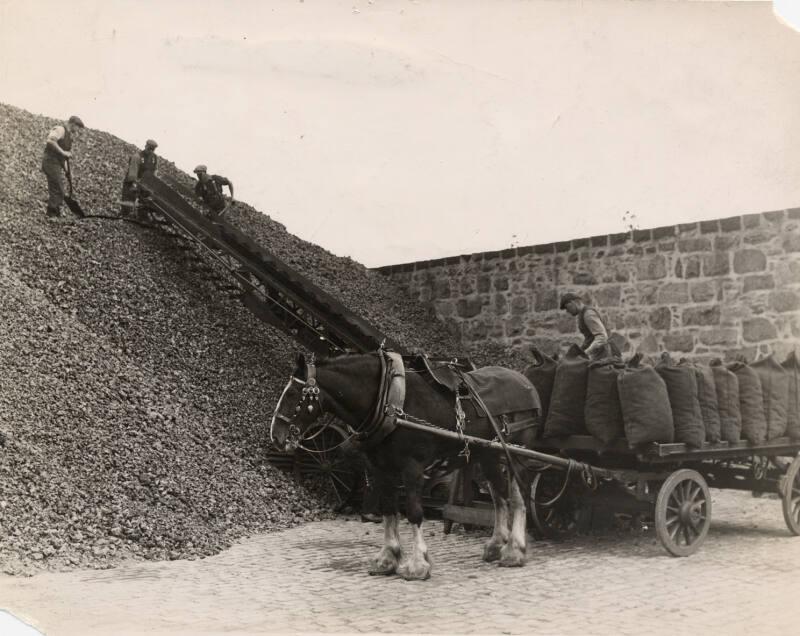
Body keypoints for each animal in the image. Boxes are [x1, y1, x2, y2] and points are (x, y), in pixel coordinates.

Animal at [272, 350, 540, 580]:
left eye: (293, 394)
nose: (276, 435)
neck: (389, 401)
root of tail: (525, 383)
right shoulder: (381, 469)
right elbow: (389, 509)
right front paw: (387, 558)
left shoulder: (412, 468)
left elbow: (413, 511)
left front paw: (418, 564)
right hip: (488, 454)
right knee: (499, 497)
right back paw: (496, 545)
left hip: (517, 454)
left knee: (519, 497)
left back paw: (515, 550)